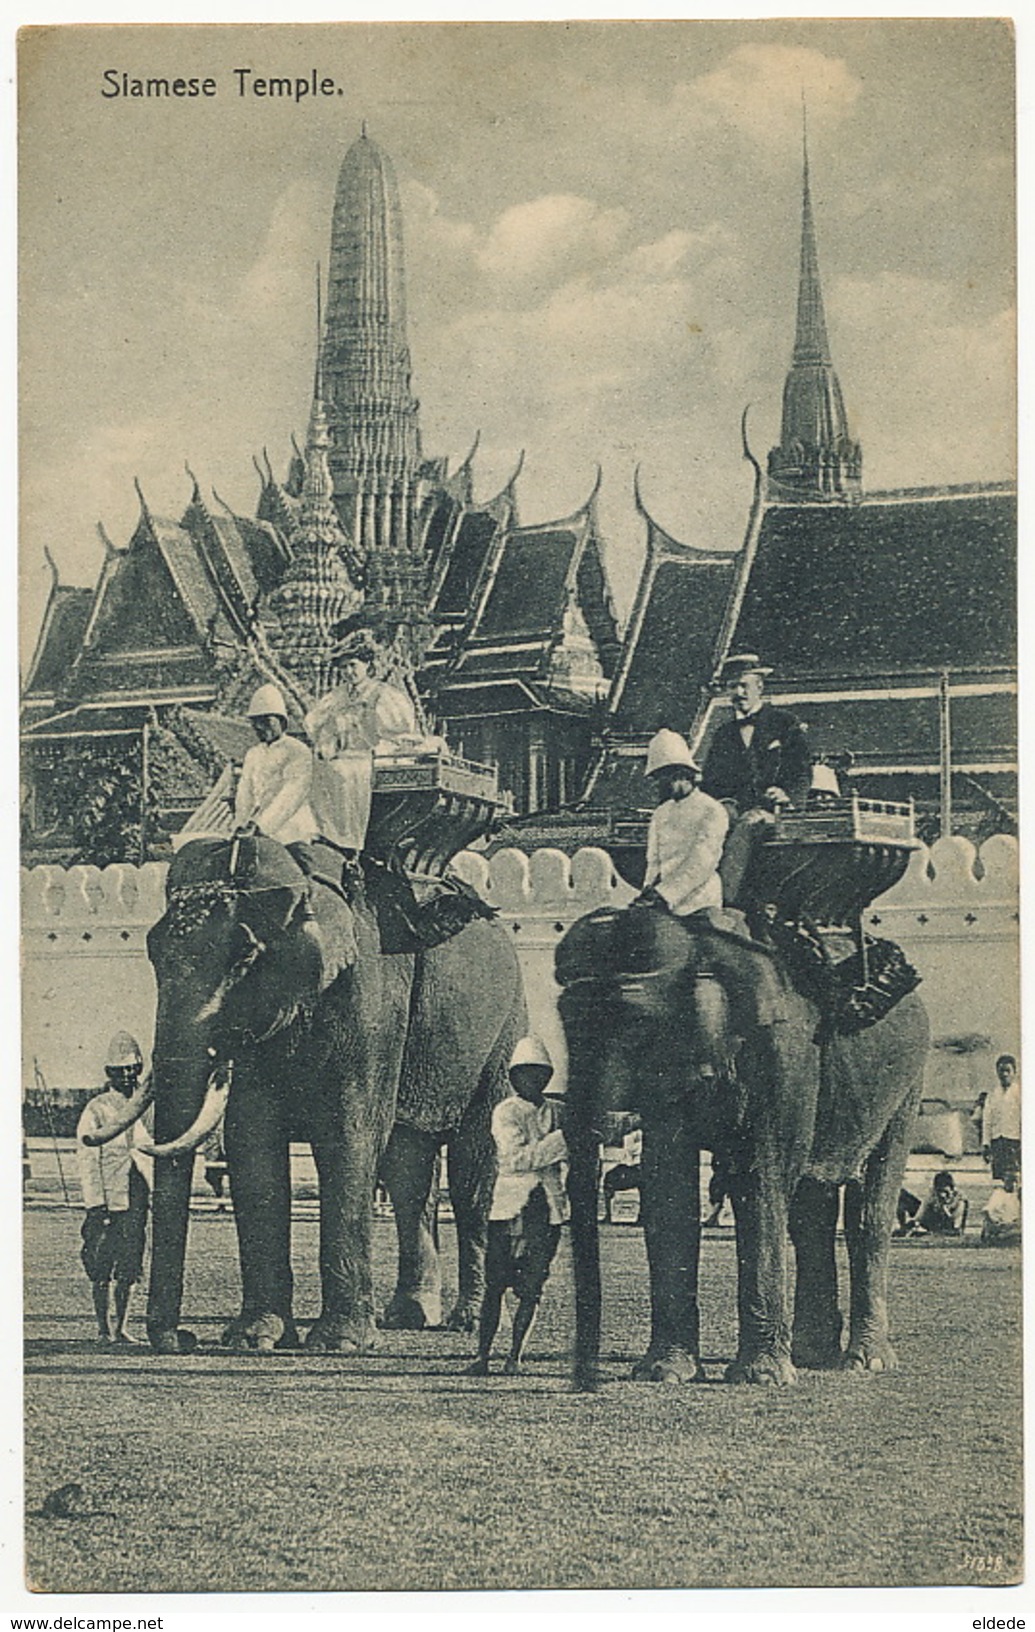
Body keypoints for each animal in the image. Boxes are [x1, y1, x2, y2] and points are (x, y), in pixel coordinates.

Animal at [98, 835, 522, 1357]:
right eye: (152, 954)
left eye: (244, 958)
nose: (180, 1339)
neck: (301, 879)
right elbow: (251, 1141)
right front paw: (253, 1339)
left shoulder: (369, 996)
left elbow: (347, 1134)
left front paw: (337, 1344)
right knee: (408, 1172)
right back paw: (410, 1316)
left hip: (504, 1030)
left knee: (474, 1170)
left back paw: (468, 1321)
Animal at [555, 907, 927, 1390]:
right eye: (564, 1018)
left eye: (633, 1019)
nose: (587, 1381)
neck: (699, 945)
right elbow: (669, 1185)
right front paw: (664, 1373)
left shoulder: (786, 1056)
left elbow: (758, 1179)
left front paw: (760, 1378)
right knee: (810, 1213)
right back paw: (812, 1354)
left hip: (907, 1086)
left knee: (870, 1208)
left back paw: (866, 1362)